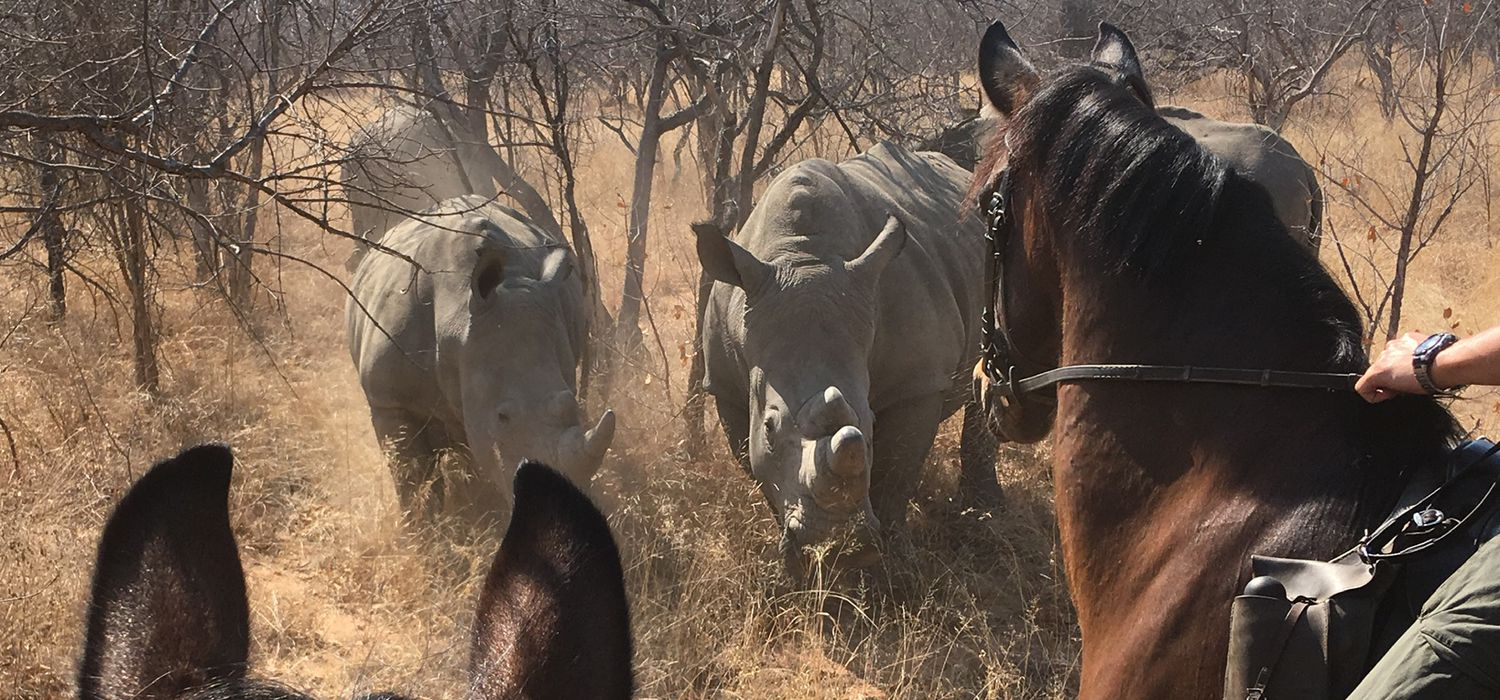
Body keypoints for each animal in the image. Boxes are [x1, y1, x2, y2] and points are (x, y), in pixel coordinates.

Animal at [346, 194, 615, 518]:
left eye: (570, 404)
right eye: (502, 416)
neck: (456, 315)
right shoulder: (388, 400)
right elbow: (411, 475)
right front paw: (424, 527)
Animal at [696, 140, 1002, 569]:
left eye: (870, 420)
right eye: (770, 426)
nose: (835, 538)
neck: (802, 256)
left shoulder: (917, 381)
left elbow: (895, 475)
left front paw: (892, 563)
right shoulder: (724, 386)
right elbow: (756, 465)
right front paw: (795, 564)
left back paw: (984, 511)